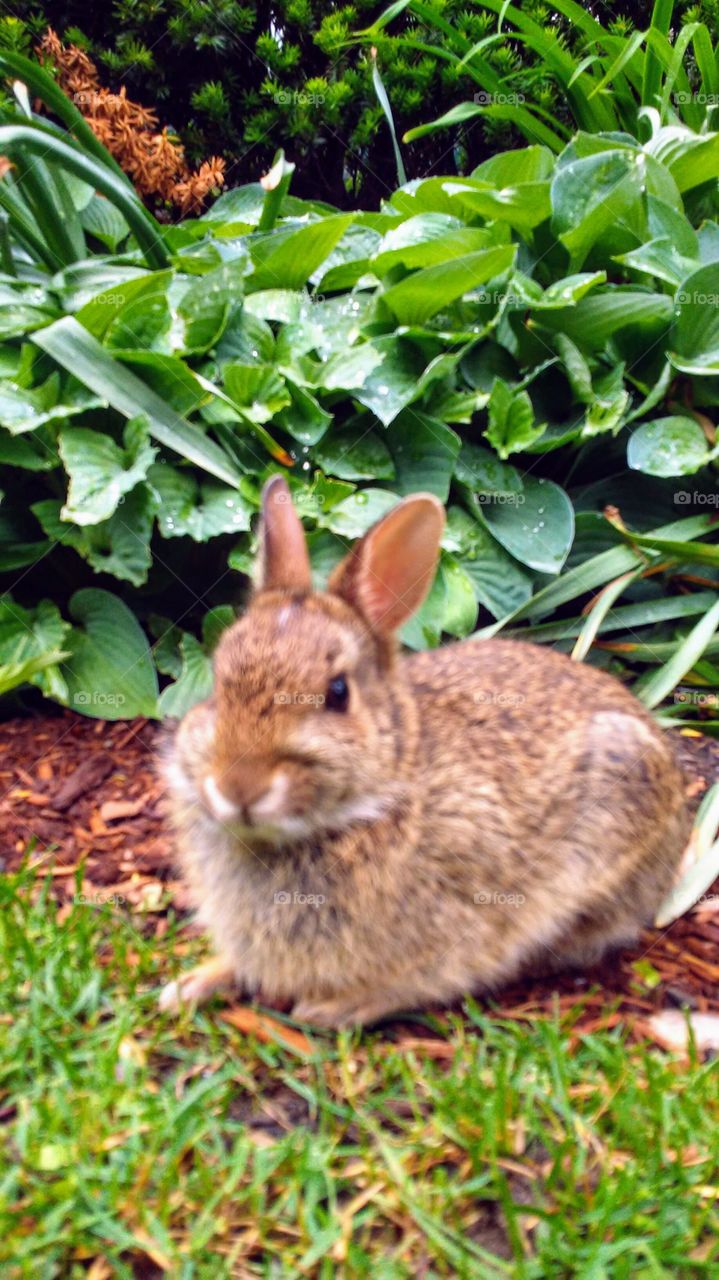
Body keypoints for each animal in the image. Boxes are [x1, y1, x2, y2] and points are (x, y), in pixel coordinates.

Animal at [159, 474, 689, 1027]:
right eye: (218, 682)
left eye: (338, 693)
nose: (239, 786)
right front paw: (191, 984)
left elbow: (423, 979)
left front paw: (333, 1008)